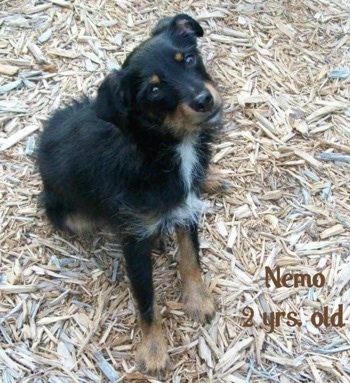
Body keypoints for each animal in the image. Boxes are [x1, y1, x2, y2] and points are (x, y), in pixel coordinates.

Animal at [37, 13, 223, 380]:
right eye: (154, 89)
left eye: (188, 59)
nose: (204, 100)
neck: (162, 147)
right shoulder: (134, 239)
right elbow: (146, 298)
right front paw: (153, 352)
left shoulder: (186, 206)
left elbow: (191, 257)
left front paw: (198, 300)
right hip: (73, 215)